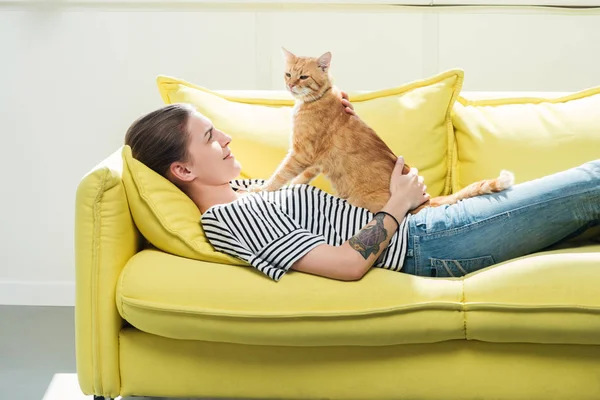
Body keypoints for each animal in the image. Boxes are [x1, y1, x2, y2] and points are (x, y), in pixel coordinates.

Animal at [248, 48, 516, 214]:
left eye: (303, 77)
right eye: (288, 74)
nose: (290, 85)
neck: (318, 98)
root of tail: (428, 200)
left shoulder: (302, 153)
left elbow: (281, 174)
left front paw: (262, 190)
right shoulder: (315, 162)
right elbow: (299, 179)